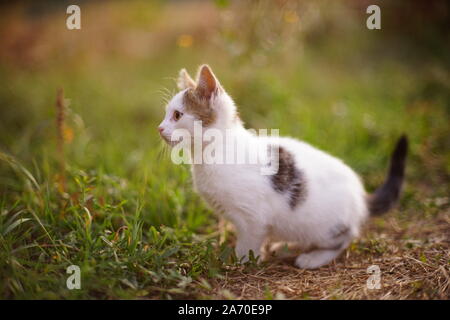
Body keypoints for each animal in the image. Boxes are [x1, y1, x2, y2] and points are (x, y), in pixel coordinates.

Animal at [158, 63, 408, 268]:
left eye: (177, 115)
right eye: (166, 114)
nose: (159, 128)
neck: (211, 154)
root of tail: (360, 194)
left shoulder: (253, 217)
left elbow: (248, 242)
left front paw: (242, 261)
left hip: (324, 226)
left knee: (345, 239)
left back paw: (313, 257)